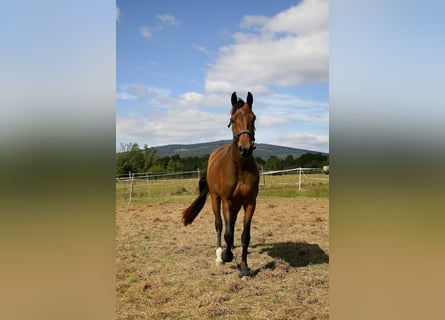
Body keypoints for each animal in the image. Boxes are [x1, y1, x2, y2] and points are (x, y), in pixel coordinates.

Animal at [180, 91, 258, 276]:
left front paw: (244, 267)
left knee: (232, 224)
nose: (245, 148)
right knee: (219, 224)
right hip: (216, 199)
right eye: (233, 119)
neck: (240, 168)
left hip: (236, 204)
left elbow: (245, 235)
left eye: (253, 118)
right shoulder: (226, 201)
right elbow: (226, 232)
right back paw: (219, 254)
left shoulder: (250, 203)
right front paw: (226, 256)